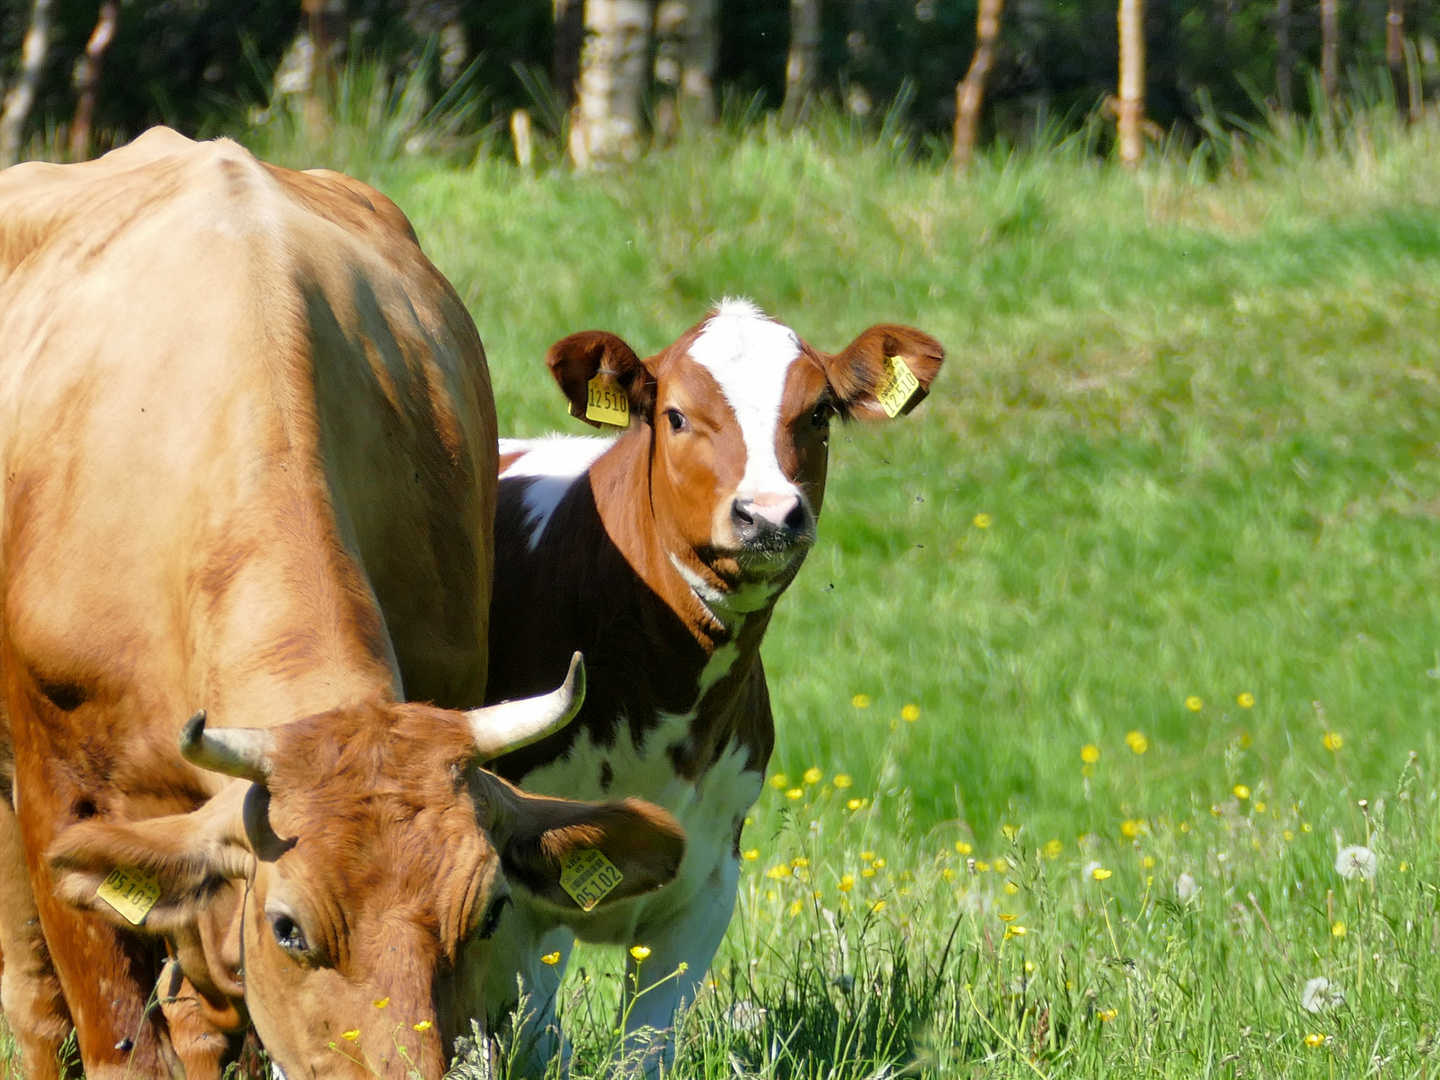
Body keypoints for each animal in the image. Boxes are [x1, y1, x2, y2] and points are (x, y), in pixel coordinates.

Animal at [472, 298, 944, 1077]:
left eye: (818, 412)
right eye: (676, 416)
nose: (770, 514)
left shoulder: (710, 878)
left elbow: (644, 1048)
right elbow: (533, 1039)